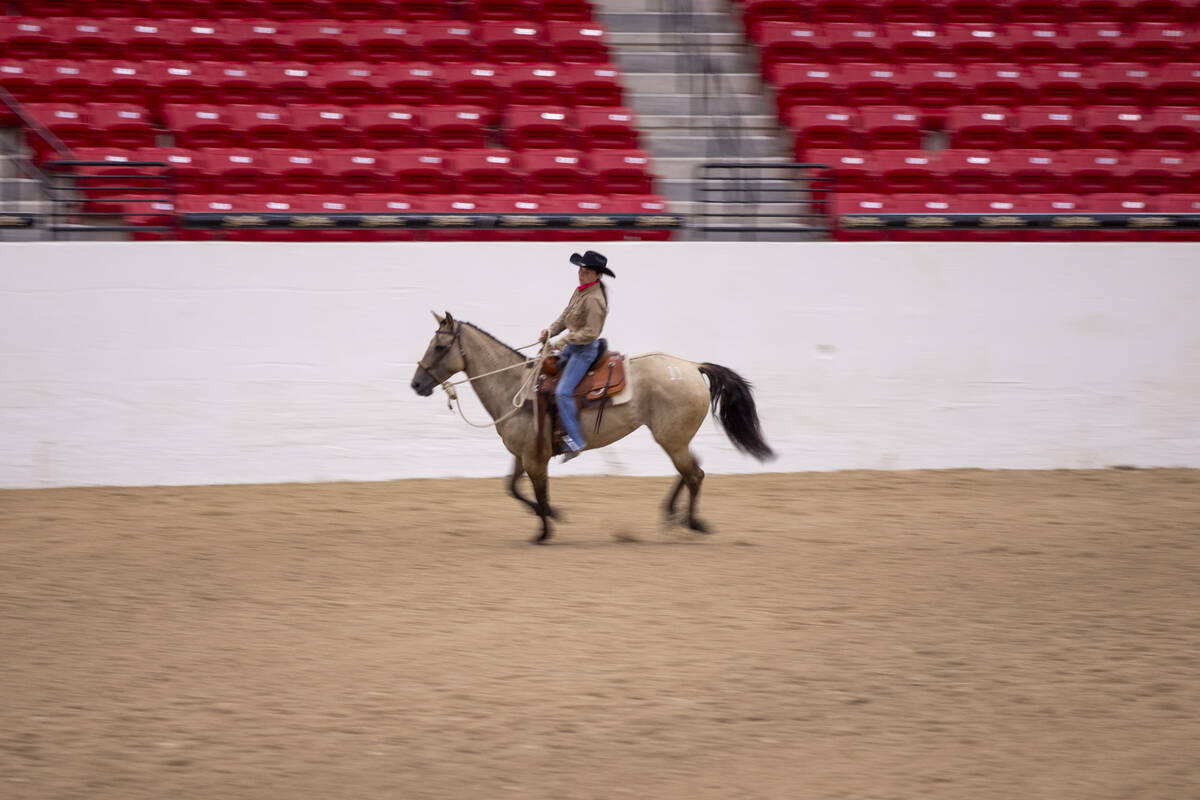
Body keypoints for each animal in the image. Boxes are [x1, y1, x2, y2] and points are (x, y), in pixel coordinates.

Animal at [412, 311, 777, 544]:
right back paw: (672, 515)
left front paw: (544, 530)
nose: (416, 384)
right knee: (690, 471)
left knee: (695, 475)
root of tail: (691, 366)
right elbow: (513, 488)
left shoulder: (535, 458)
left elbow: (539, 491)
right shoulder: (521, 454)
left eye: (440, 347)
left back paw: (693, 522)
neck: (515, 385)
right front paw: (554, 516)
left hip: (671, 439)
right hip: (674, 437)